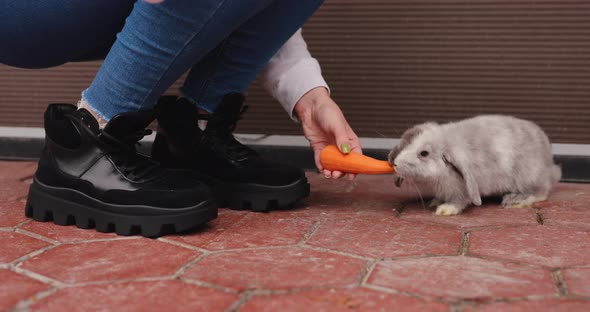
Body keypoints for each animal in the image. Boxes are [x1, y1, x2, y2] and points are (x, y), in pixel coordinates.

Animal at [390, 114, 560, 214]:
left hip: (529, 176)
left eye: (424, 153)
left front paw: (445, 209)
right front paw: (435, 201)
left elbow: (459, 201)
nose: (395, 163)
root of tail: (550, 166)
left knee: (541, 192)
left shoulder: (460, 188)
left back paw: (515, 200)